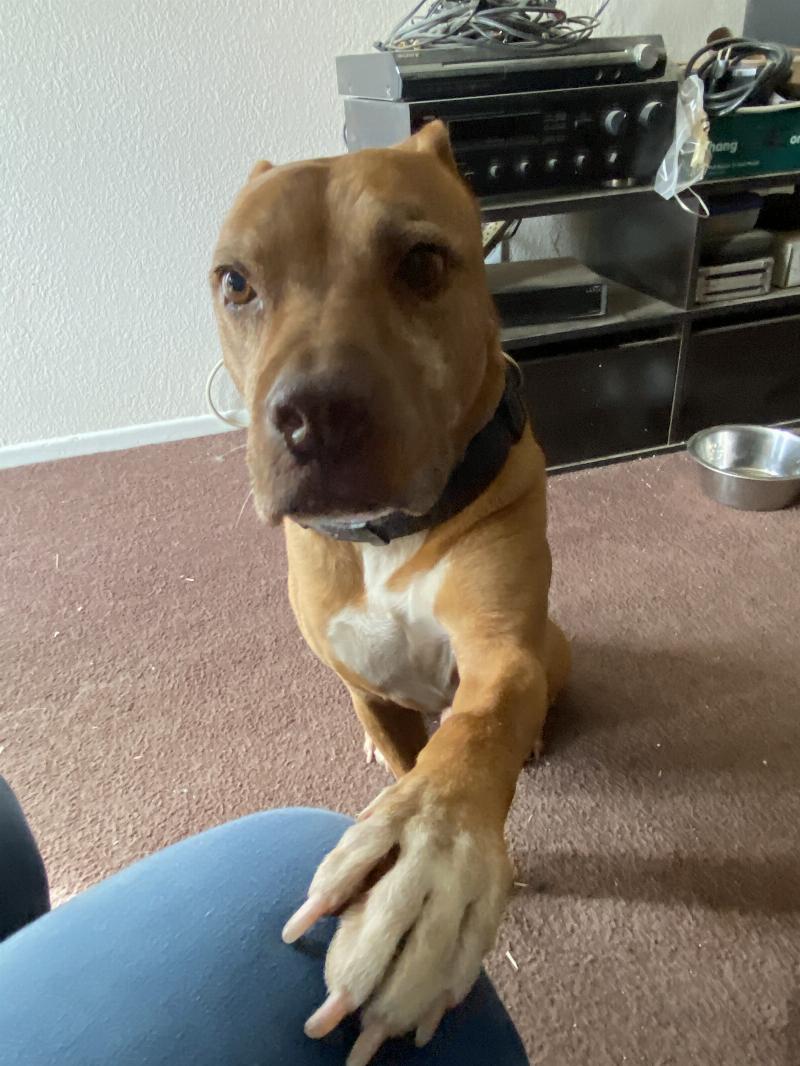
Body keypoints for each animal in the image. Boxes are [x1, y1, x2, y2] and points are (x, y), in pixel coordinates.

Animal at [211, 119, 570, 1066]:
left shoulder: (501, 650)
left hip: (556, 644)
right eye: (236, 282)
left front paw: (428, 865)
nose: (314, 417)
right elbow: (405, 752)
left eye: (422, 263)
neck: (388, 534)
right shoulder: (363, 681)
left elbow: (478, 731)